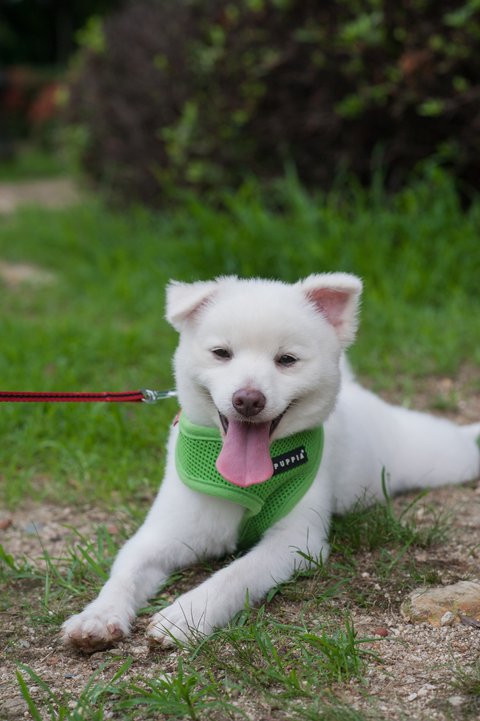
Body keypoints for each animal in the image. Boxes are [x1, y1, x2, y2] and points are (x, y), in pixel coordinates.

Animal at [62, 274, 480, 651]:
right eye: (221, 353)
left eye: (287, 360)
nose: (248, 398)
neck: (240, 482)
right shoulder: (162, 535)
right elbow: (125, 572)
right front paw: (97, 616)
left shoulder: (296, 542)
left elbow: (236, 573)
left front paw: (186, 614)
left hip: (439, 457)